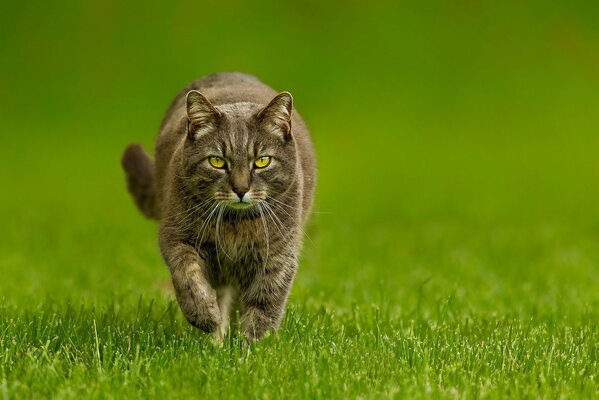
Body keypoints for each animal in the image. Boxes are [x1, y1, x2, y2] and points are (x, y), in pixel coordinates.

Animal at [122, 72, 318, 340]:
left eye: (262, 161)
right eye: (217, 161)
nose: (241, 188)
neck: (235, 224)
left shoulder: (278, 254)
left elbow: (265, 304)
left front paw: (255, 345)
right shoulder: (175, 237)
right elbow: (188, 277)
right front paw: (205, 316)